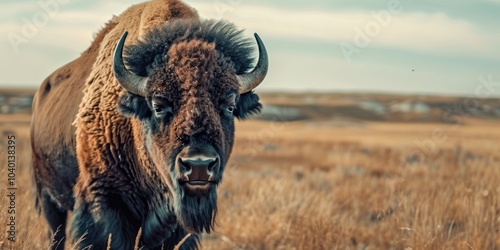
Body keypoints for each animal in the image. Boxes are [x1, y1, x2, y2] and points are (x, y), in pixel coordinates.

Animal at [29, 0, 268, 249]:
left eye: (230, 105)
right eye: (158, 105)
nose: (199, 165)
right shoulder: (103, 199)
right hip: (47, 196)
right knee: (55, 233)